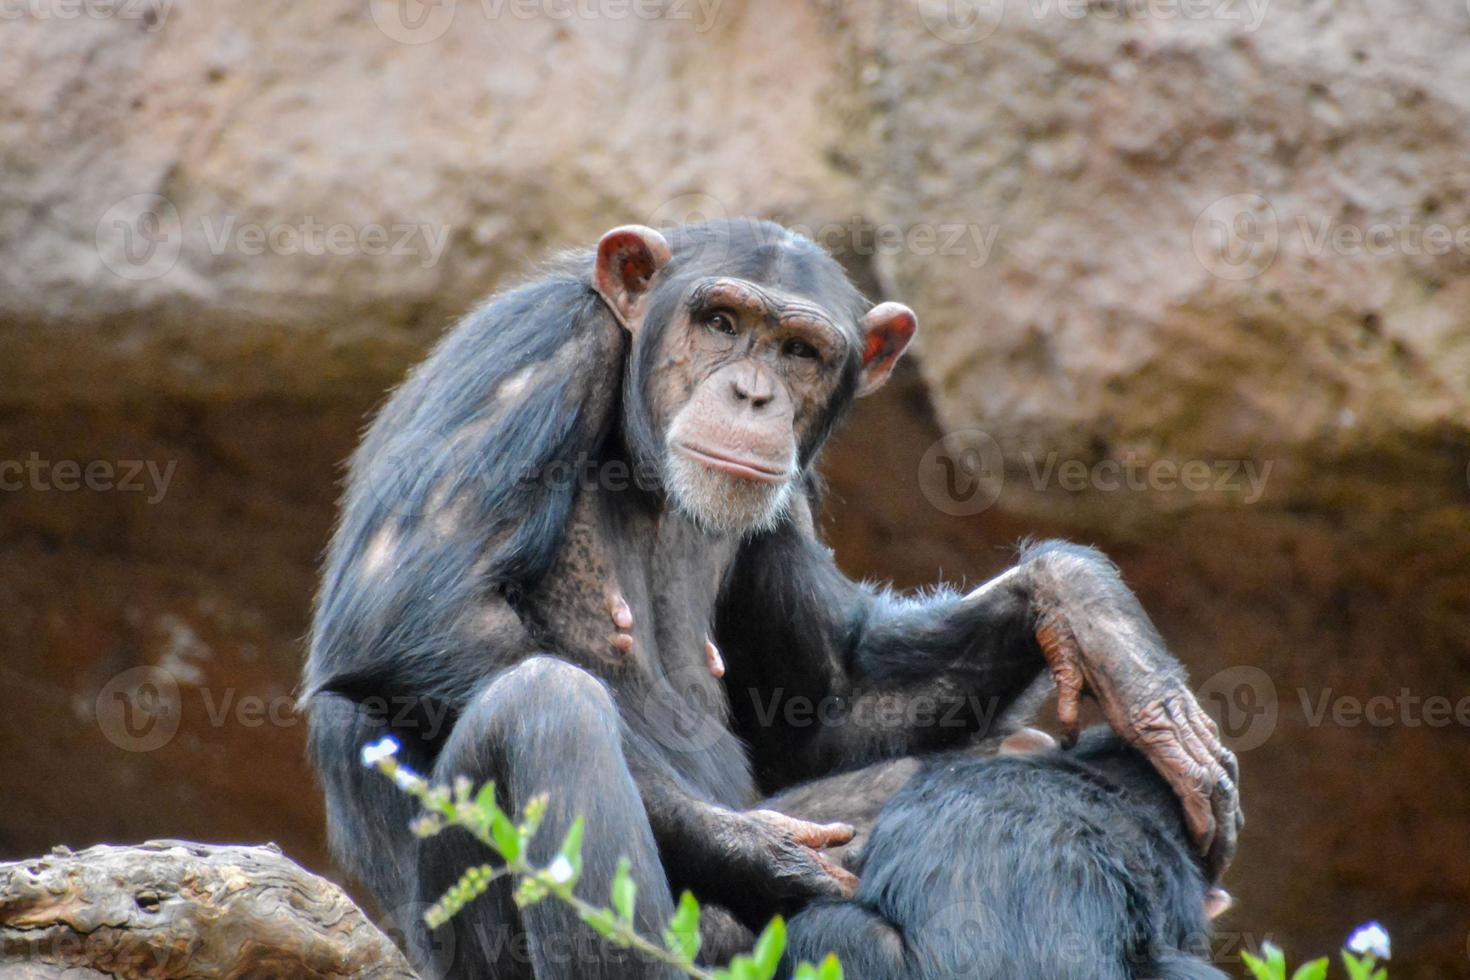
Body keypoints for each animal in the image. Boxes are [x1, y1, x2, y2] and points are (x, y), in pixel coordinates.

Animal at [301, 221, 1240, 980]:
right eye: (720, 323)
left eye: (798, 351)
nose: (753, 393)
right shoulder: (534, 352)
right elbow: (413, 611)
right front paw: (752, 847)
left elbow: (832, 702)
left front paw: (1093, 619)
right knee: (546, 703)